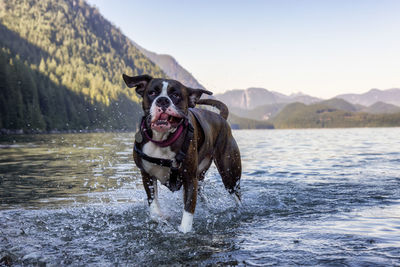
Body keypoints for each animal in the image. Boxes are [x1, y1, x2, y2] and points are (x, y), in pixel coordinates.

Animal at [122, 74, 241, 233]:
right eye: (152, 93)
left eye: (176, 95)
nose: (163, 100)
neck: (163, 140)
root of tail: (221, 118)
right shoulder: (146, 175)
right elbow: (153, 203)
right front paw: (159, 217)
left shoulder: (189, 179)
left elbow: (188, 210)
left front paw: (184, 231)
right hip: (201, 178)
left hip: (230, 175)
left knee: (236, 195)